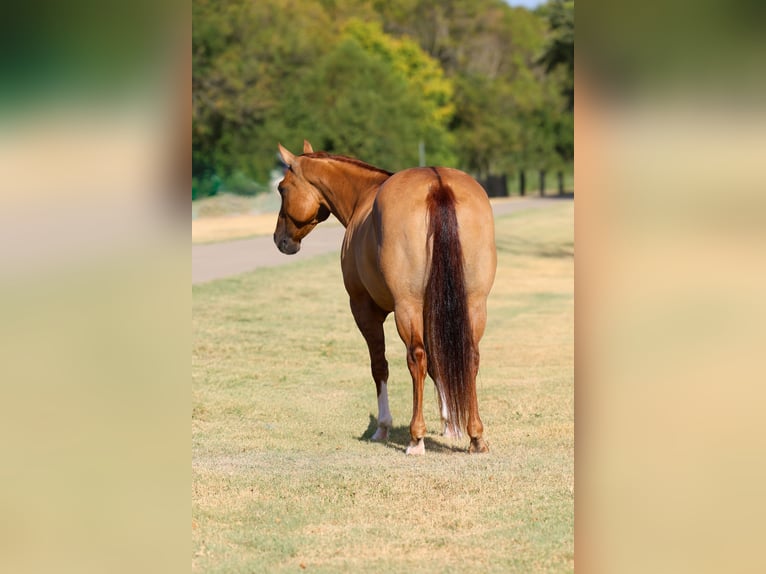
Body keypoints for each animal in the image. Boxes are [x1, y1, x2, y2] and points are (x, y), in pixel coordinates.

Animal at [274, 140, 496, 454]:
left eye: (282, 188)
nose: (280, 240)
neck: (363, 197)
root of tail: (438, 185)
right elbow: (439, 363)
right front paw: (449, 424)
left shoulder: (364, 310)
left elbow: (380, 365)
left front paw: (383, 426)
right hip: (474, 303)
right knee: (470, 355)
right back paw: (475, 436)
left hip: (407, 307)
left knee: (416, 358)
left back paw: (416, 438)